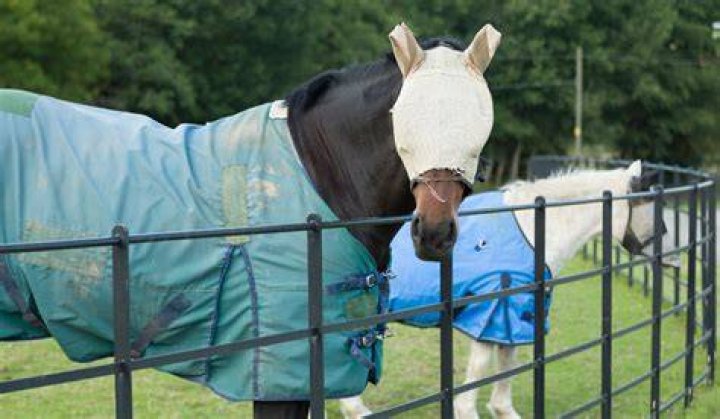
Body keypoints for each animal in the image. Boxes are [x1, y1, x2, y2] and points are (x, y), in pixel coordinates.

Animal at [339, 160, 676, 418]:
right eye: (650, 208)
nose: (674, 260)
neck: (532, 230)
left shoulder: (514, 318)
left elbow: (506, 368)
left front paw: (502, 410)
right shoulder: (491, 313)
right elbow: (478, 373)